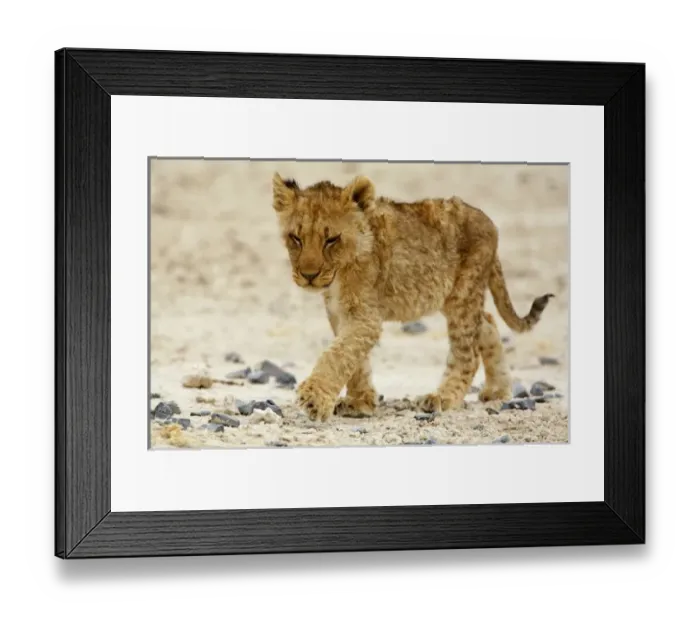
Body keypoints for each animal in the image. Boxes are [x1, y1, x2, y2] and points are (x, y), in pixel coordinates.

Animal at [271, 172, 553, 422]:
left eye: (331, 239)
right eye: (296, 238)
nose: (308, 275)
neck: (339, 274)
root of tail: (488, 221)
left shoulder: (365, 317)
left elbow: (338, 355)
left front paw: (314, 399)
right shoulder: (339, 313)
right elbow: (353, 359)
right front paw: (359, 403)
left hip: (464, 295)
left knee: (469, 354)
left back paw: (443, 398)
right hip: (455, 298)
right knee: (487, 323)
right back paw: (497, 391)